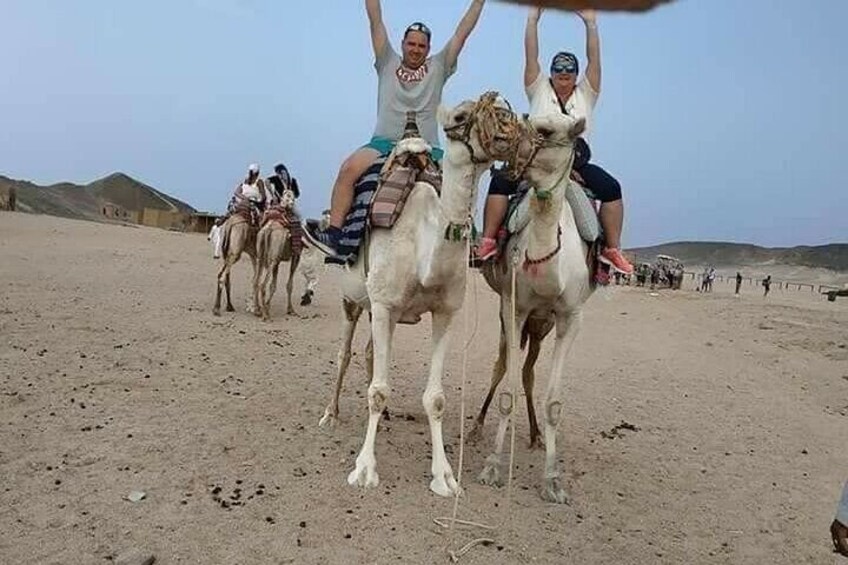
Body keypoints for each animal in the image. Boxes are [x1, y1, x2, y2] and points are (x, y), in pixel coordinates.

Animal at [318, 93, 516, 498]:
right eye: (460, 116)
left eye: (503, 109)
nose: (507, 127)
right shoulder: (383, 306)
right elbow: (378, 390)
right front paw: (364, 470)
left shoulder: (444, 313)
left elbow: (435, 399)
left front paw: (445, 478)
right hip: (353, 301)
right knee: (345, 353)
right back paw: (330, 414)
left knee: (368, 352)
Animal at [474, 110, 592, 502]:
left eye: (546, 131)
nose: (501, 141)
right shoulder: (514, 307)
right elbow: (506, 390)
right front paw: (492, 467)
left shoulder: (570, 318)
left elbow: (553, 402)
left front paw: (553, 481)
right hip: (510, 317)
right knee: (501, 367)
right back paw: (478, 425)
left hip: (543, 326)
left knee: (528, 372)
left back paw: (537, 434)